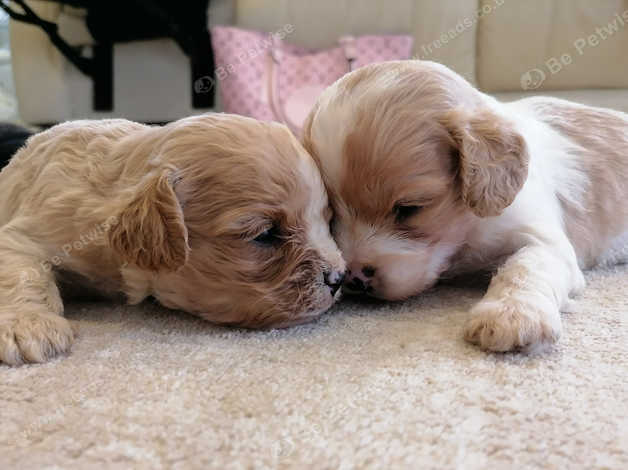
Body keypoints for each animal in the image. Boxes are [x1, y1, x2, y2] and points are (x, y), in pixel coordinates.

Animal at [0, 114, 344, 368]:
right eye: (265, 235)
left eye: (327, 222)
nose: (339, 278)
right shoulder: (36, 228)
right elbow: (22, 272)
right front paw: (28, 326)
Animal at [304, 59, 628, 352]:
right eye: (332, 217)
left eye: (409, 208)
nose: (354, 277)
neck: (465, 232)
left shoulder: (542, 239)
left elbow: (525, 267)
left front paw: (511, 315)